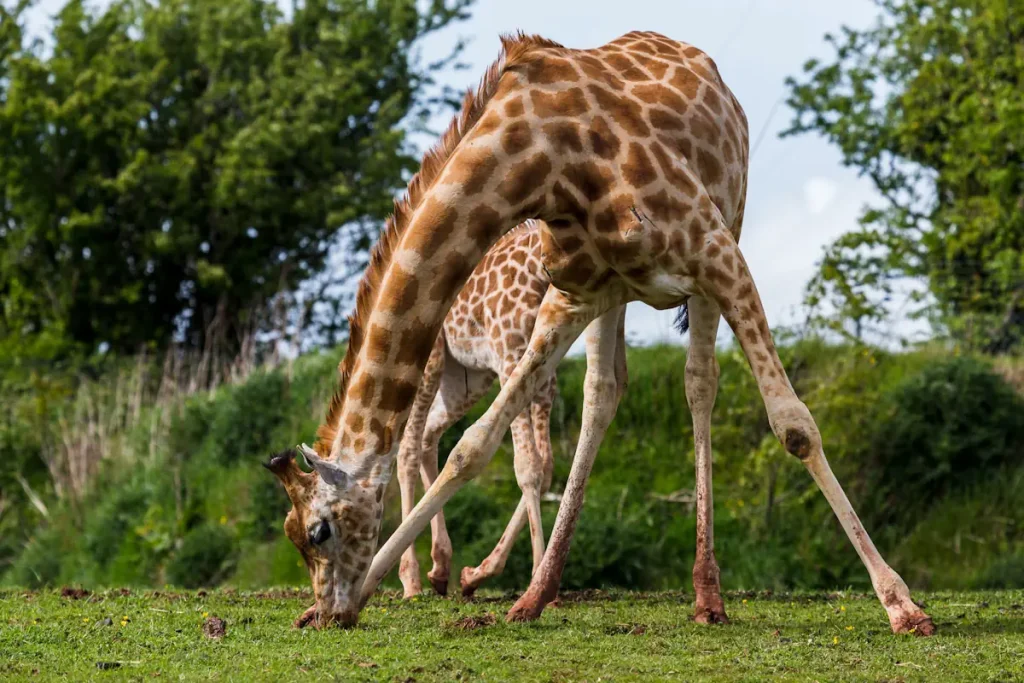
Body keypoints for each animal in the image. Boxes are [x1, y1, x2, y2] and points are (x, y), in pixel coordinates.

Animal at [266, 30, 935, 635]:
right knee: (602, 393)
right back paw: (537, 593)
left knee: (699, 383)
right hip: (611, 297)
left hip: (726, 232)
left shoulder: (716, 252)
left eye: (319, 531)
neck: (539, 162)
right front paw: (376, 591)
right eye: (293, 535)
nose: (328, 611)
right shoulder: (575, 294)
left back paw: (707, 596)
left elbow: (794, 425)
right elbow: (474, 447)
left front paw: (901, 604)